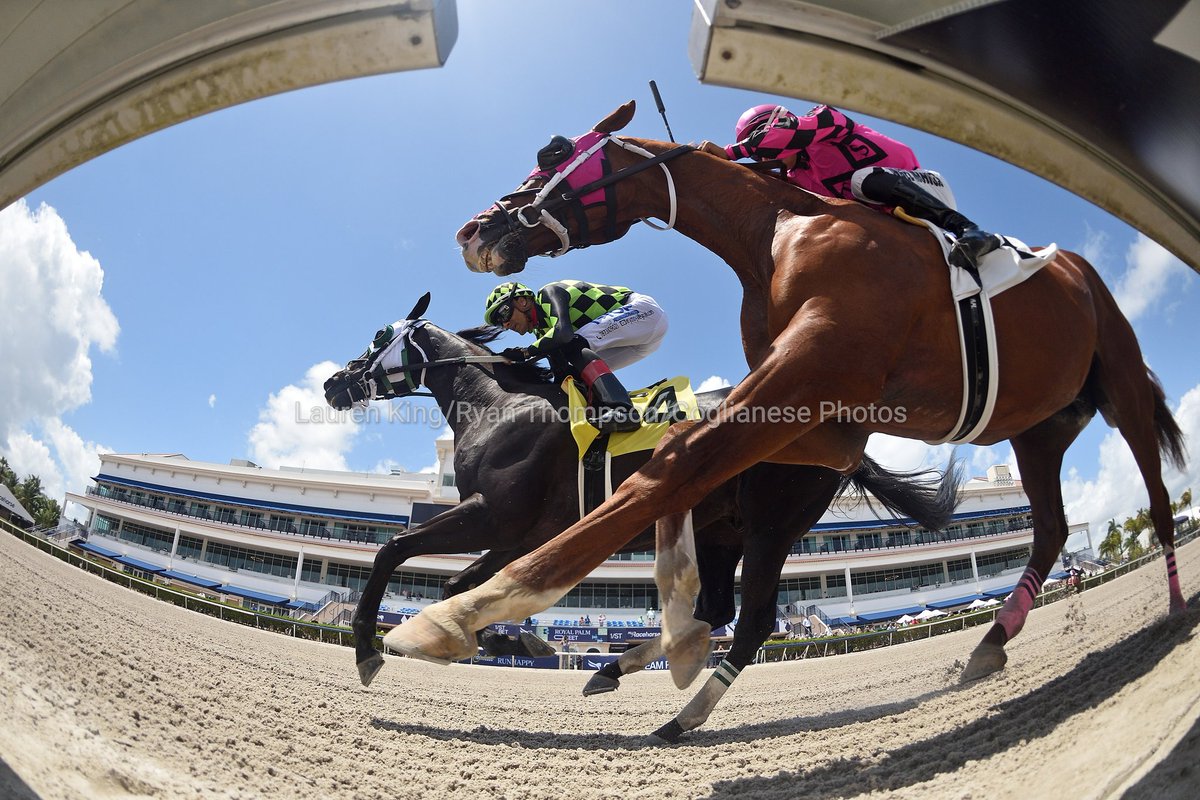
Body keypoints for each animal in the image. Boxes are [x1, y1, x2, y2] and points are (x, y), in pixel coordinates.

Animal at [324, 297, 960, 743]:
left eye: (379, 337)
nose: (334, 382)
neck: (499, 405)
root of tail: (832, 425)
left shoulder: (496, 517)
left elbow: (395, 549)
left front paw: (368, 650)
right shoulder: (518, 533)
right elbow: (462, 585)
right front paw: (513, 639)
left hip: (770, 528)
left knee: (752, 624)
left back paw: (679, 720)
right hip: (720, 529)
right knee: (714, 612)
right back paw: (612, 669)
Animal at [386, 98, 1190, 690]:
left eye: (553, 152)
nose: (474, 229)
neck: (777, 231)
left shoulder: (812, 373)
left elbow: (668, 469)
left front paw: (459, 613)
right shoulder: (818, 418)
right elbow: (682, 470)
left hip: (1119, 380)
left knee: (1155, 496)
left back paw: (1177, 607)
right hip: (1037, 424)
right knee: (1050, 528)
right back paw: (990, 643)